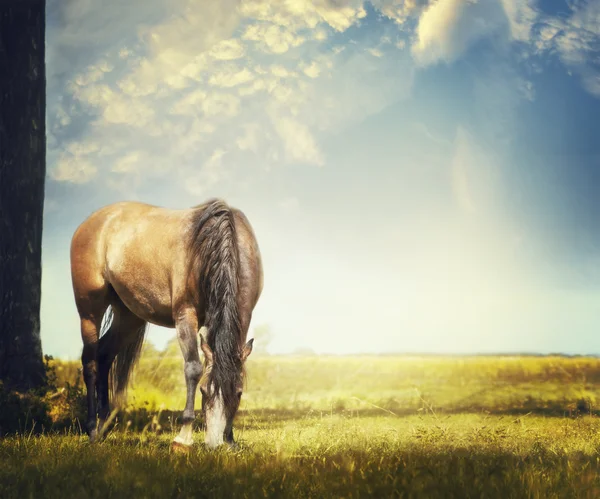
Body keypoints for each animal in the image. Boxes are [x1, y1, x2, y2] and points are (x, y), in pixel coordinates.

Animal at [69, 198, 262, 450]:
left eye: (238, 393)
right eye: (203, 390)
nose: (214, 443)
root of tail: (90, 222)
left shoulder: (243, 315)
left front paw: (230, 440)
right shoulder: (185, 315)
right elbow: (193, 368)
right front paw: (183, 439)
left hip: (129, 317)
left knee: (104, 356)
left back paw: (103, 426)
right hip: (90, 310)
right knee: (90, 362)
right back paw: (92, 428)